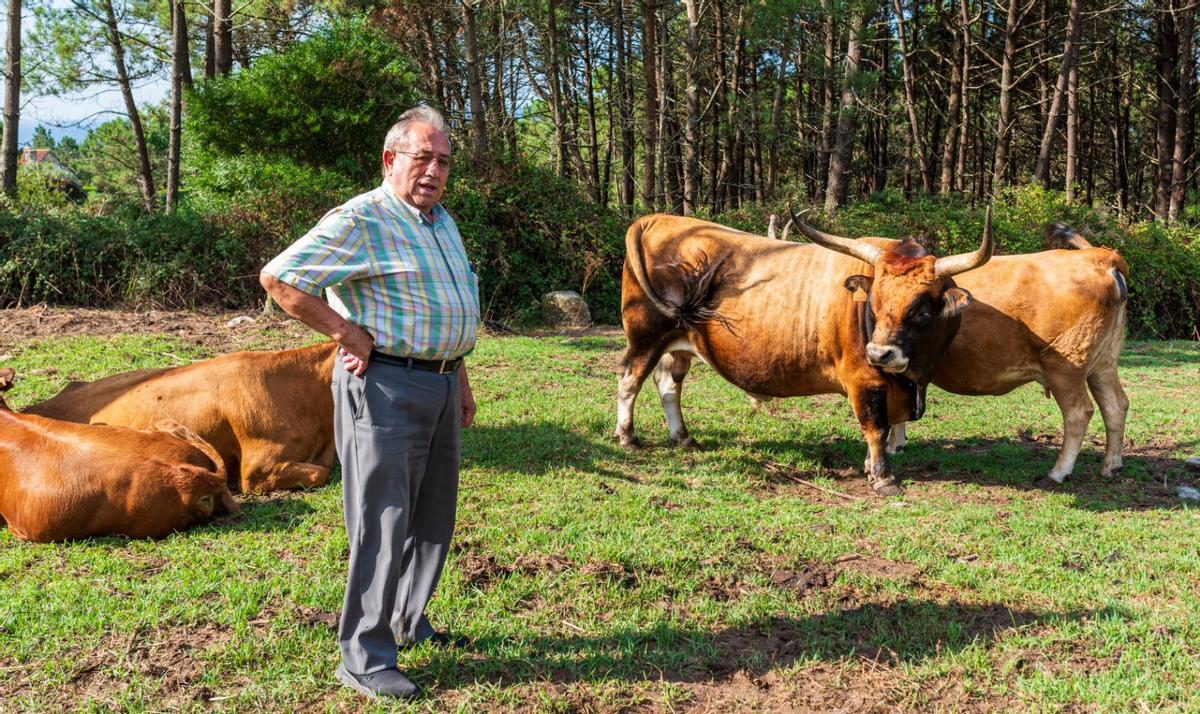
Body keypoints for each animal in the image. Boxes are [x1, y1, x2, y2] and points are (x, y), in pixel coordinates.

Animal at [614, 210, 988, 494]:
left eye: (922, 311)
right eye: (875, 304)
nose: (881, 354)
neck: (913, 378)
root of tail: (654, 219)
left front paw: (871, 467)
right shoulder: (863, 380)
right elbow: (876, 428)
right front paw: (883, 478)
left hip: (678, 342)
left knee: (668, 384)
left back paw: (683, 437)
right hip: (645, 337)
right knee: (630, 379)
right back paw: (627, 436)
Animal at [888, 228, 1128, 487]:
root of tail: (1100, 256)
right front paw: (897, 445)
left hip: (1066, 367)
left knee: (1079, 412)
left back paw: (1058, 472)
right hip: (1103, 363)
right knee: (1116, 405)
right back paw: (1112, 467)